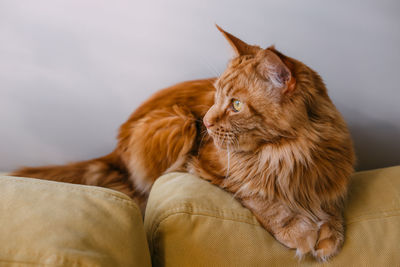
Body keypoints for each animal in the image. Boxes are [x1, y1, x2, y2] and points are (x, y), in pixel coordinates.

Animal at [10, 26, 354, 262]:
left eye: (236, 105)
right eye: (216, 95)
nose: (207, 122)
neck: (289, 152)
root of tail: (116, 149)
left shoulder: (329, 176)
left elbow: (328, 203)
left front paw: (330, 232)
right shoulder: (211, 167)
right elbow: (263, 197)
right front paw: (300, 229)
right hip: (179, 122)